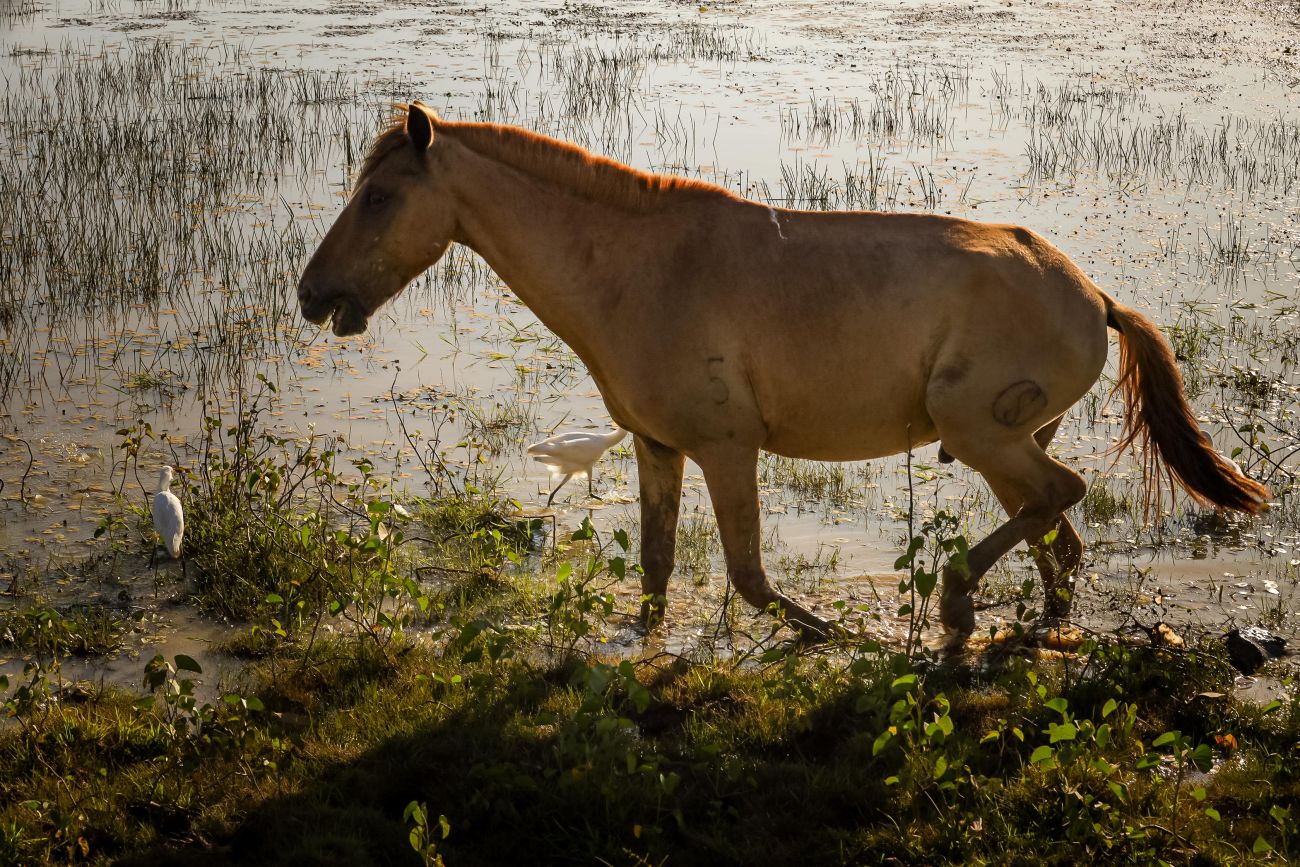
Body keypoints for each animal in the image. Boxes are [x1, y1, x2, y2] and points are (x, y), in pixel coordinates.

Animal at [297, 102, 1268, 643]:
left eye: (379, 197)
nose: (311, 295)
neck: (638, 272)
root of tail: (1095, 294)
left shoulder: (728, 449)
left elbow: (751, 579)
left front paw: (826, 631)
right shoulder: (657, 446)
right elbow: (655, 570)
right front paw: (640, 643)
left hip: (980, 431)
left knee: (1060, 498)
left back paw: (957, 602)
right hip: (1002, 442)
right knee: (1055, 527)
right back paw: (1029, 619)